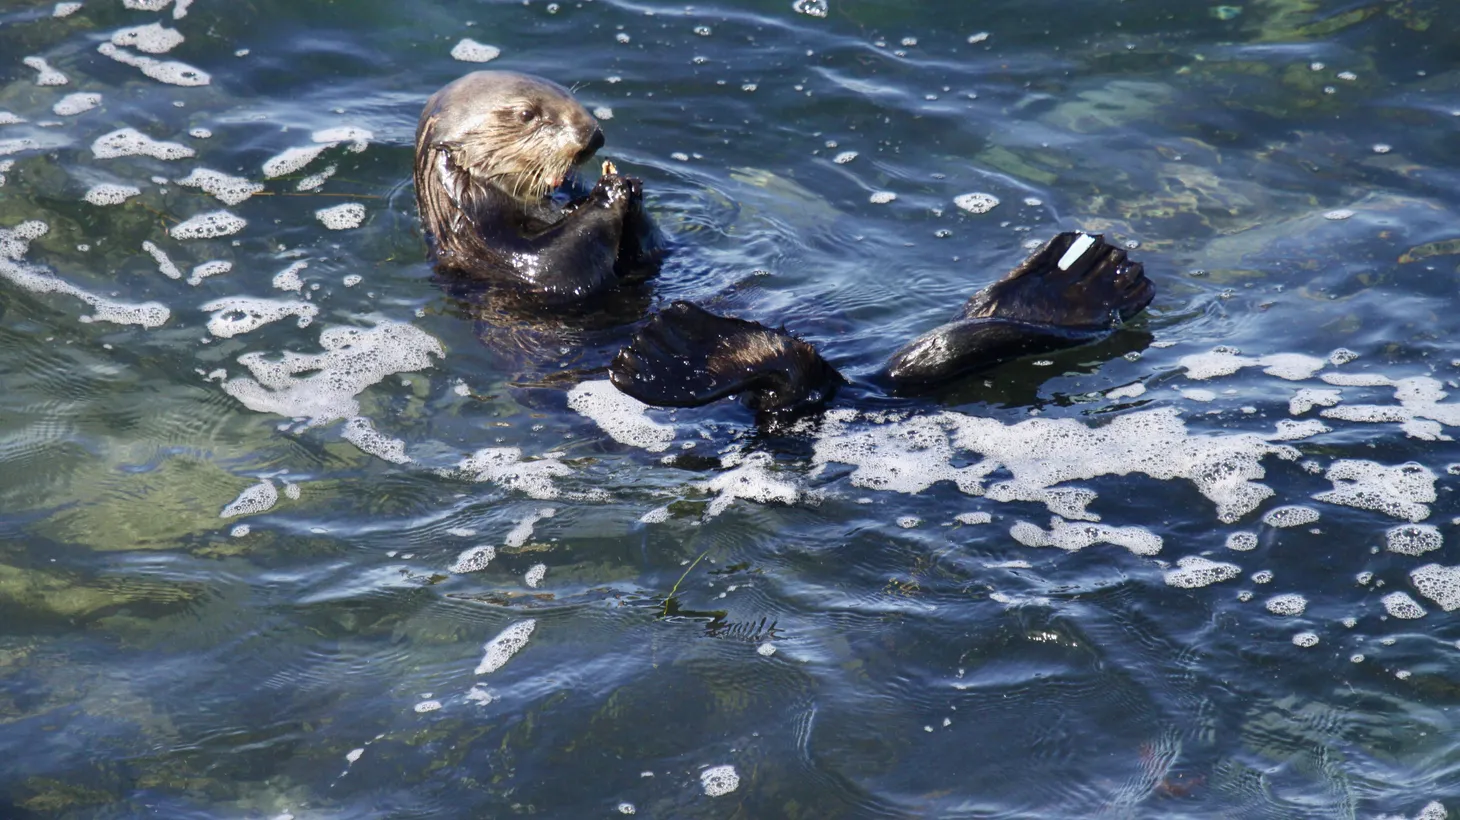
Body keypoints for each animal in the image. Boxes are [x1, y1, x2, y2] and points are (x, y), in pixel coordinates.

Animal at [417, 70, 1156, 411]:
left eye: (569, 98)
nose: (593, 136)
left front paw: (620, 185)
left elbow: (646, 257)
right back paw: (677, 345)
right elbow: (557, 268)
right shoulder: (489, 253)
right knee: (787, 378)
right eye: (525, 113)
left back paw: (1082, 277)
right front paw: (603, 196)